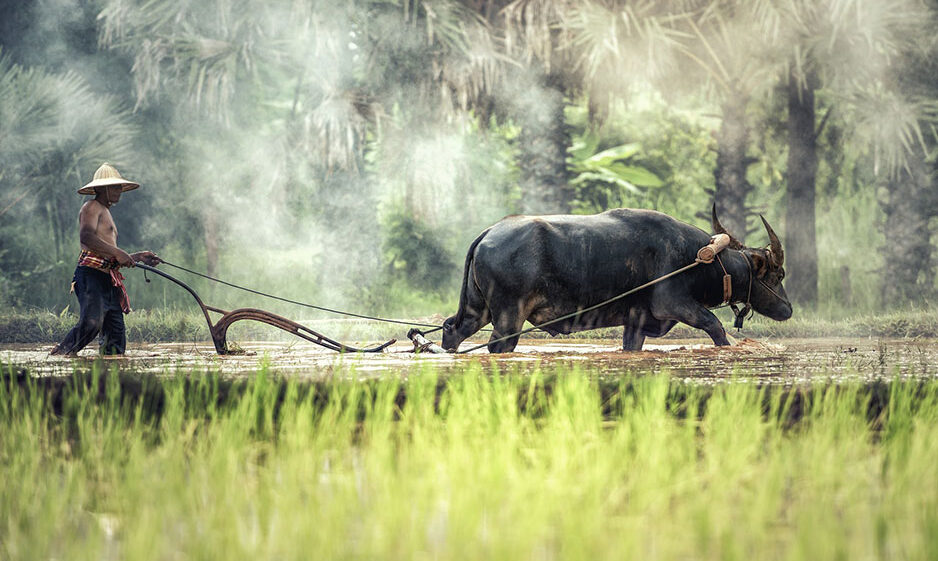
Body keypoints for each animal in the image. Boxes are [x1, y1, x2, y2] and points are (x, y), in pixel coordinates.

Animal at [442, 206, 792, 353]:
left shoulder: (636, 322)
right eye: (778, 274)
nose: (788, 309)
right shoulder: (674, 304)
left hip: (477, 309)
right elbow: (715, 327)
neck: (700, 258)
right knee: (498, 345)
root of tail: (489, 232)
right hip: (508, 316)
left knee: (452, 329)